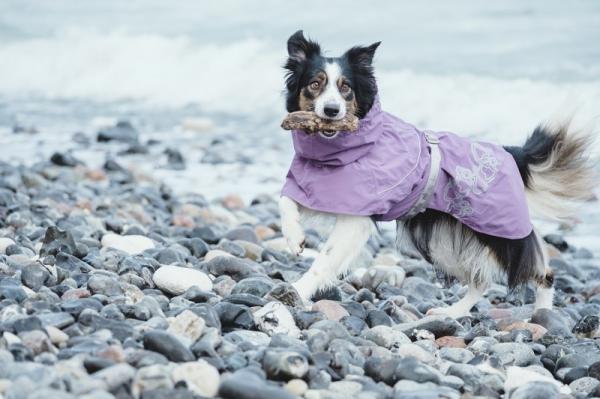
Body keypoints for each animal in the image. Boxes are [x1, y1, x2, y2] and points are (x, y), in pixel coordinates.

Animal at [278, 29, 596, 318]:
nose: (331, 111)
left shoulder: (356, 216)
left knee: (541, 272)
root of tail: (509, 153)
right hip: (445, 240)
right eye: (315, 84)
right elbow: (285, 199)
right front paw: (295, 239)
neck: (338, 152)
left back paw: (543, 315)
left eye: (345, 88)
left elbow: (324, 260)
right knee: (480, 280)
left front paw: (298, 290)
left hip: (501, 234)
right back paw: (452, 312)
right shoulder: (321, 190)